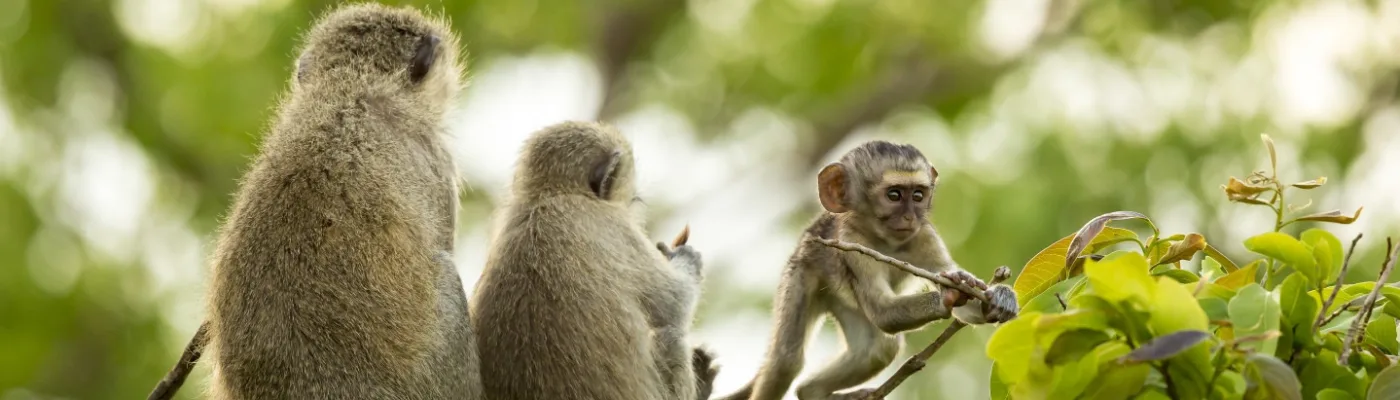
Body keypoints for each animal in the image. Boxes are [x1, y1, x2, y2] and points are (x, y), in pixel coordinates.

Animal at [471, 121, 709, 400]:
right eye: (633, 200)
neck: (549, 195)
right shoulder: (613, 224)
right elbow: (676, 304)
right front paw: (686, 257)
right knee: (672, 339)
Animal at [715, 141, 1019, 400]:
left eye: (918, 195)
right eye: (894, 195)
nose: (909, 217)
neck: (886, 241)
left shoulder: (926, 237)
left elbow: (966, 313)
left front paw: (998, 296)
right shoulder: (851, 241)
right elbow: (884, 313)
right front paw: (949, 295)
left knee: (878, 350)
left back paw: (811, 391)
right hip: (801, 273)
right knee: (785, 363)